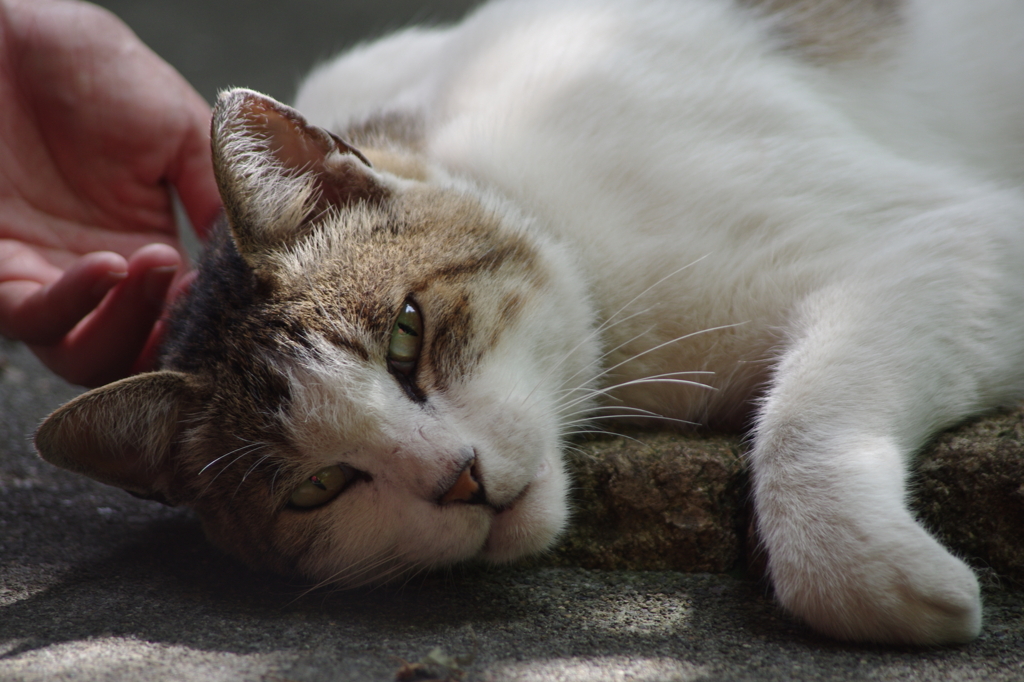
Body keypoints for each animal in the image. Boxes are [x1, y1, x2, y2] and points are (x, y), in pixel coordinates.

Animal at [29, 0, 1024, 643]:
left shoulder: (962, 233)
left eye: (407, 334)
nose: (459, 480)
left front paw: (877, 573)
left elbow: (806, 422)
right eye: (317, 487)